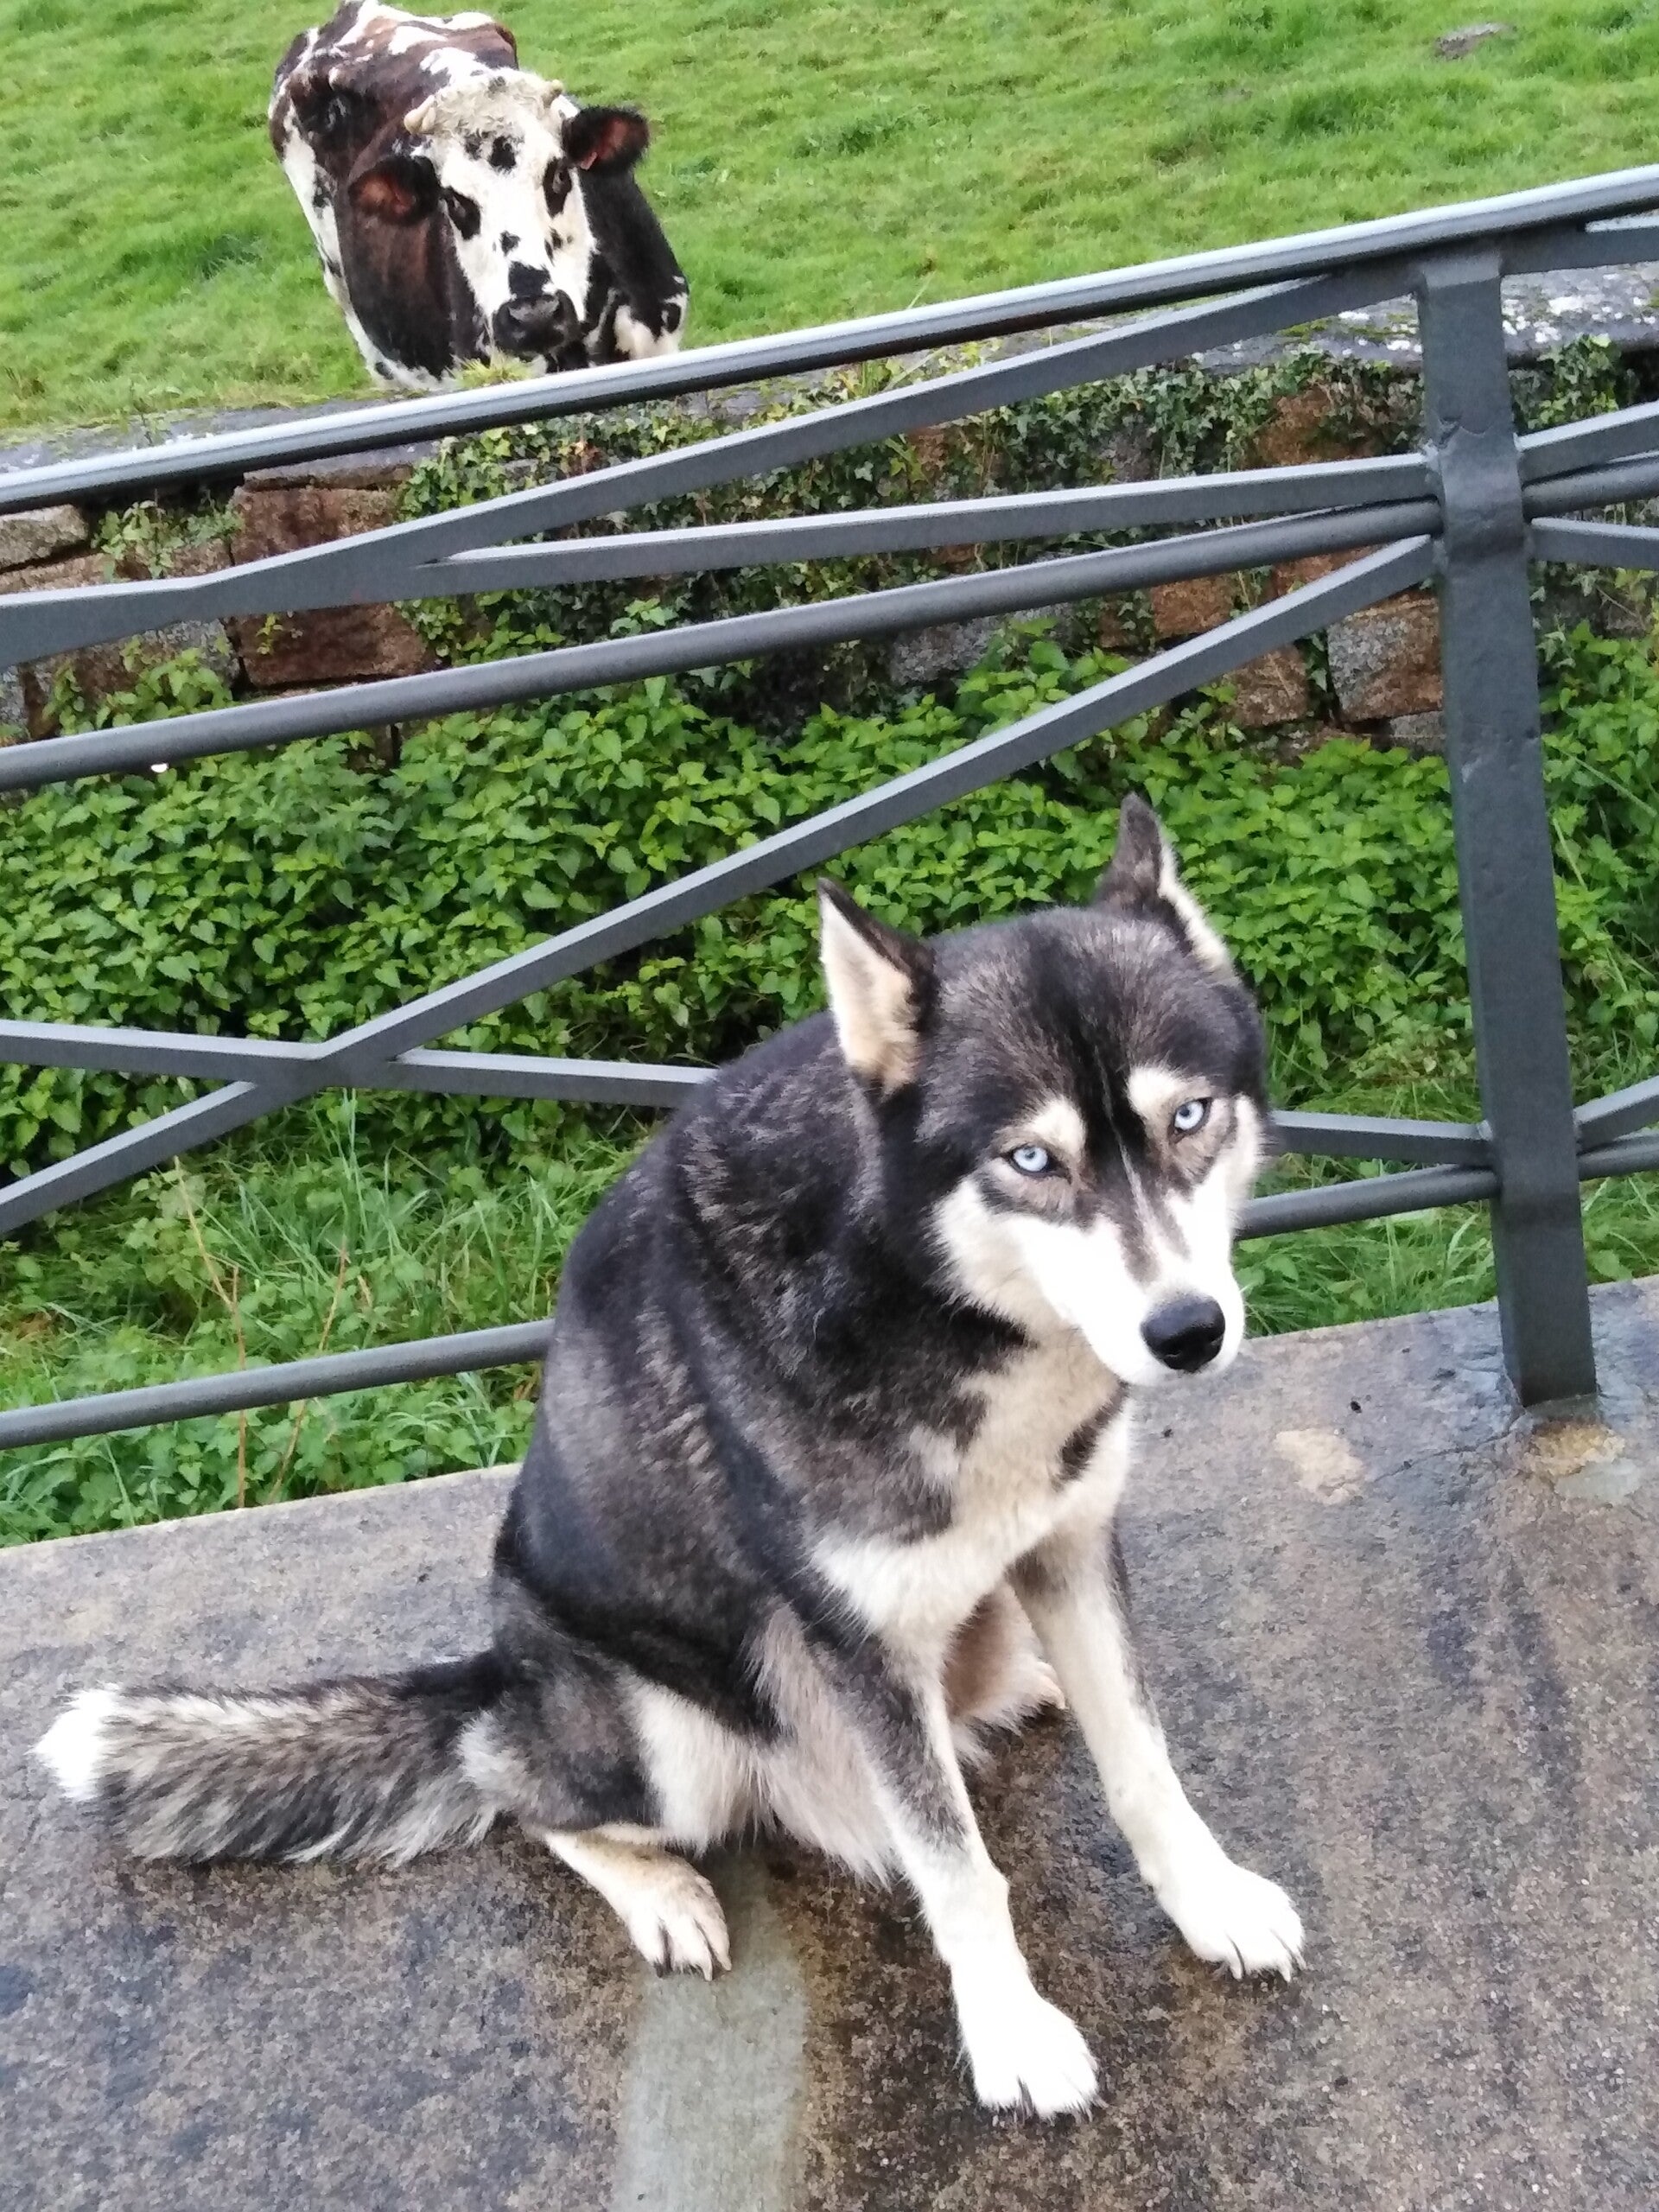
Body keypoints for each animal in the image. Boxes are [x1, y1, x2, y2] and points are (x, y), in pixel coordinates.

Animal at [36, 795, 1302, 2117]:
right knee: (523, 1792)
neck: (931, 1302)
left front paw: (1209, 1901)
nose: (1188, 1331)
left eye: (1189, 1118)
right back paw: (659, 1888)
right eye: (1032, 1161)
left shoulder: (1071, 1546)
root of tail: (498, 1674)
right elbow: (957, 1868)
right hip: (668, 1737)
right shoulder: (860, 1647)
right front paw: (1010, 2030)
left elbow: (1144, 1764)